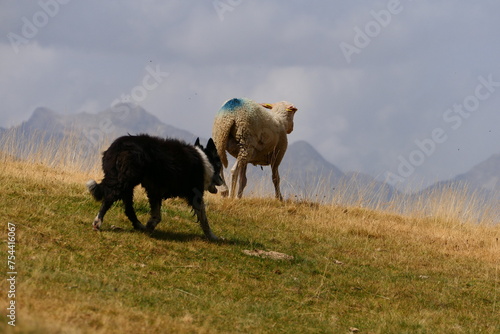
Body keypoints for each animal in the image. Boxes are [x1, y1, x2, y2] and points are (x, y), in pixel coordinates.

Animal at [87, 134, 224, 241]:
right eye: (219, 165)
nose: (222, 181)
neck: (205, 160)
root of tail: (118, 146)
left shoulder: (155, 190)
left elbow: (157, 215)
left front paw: (150, 226)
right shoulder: (195, 194)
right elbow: (204, 219)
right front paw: (213, 237)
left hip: (127, 184)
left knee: (128, 208)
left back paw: (139, 225)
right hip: (125, 181)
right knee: (109, 198)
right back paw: (97, 222)